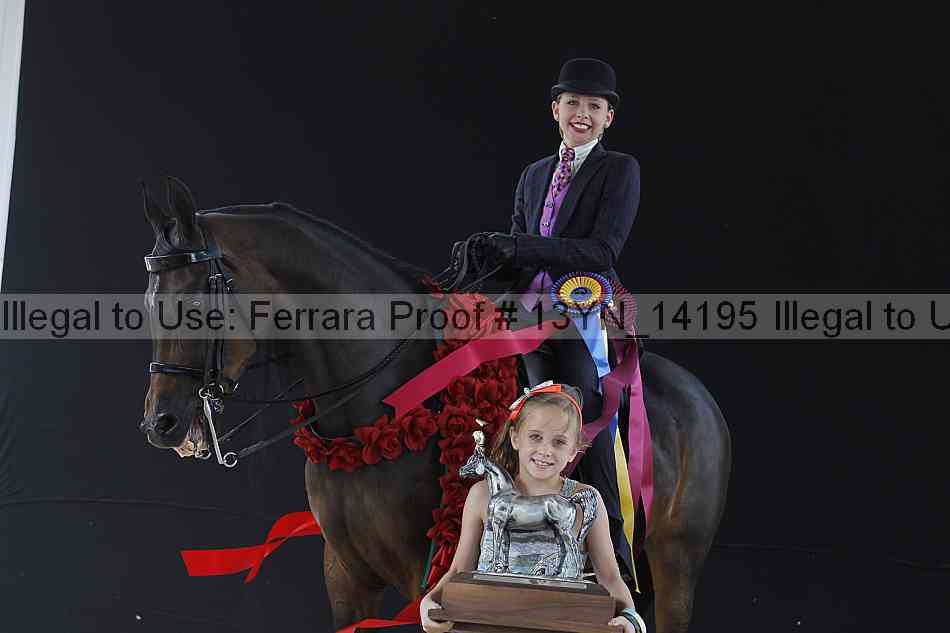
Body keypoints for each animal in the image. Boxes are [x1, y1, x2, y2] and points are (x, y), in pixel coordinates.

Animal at [139, 177, 731, 633]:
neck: (375, 413)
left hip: (675, 563)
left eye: (198, 305)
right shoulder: (346, 575)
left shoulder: (428, 575)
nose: (162, 424)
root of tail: (697, 396)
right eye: (149, 301)